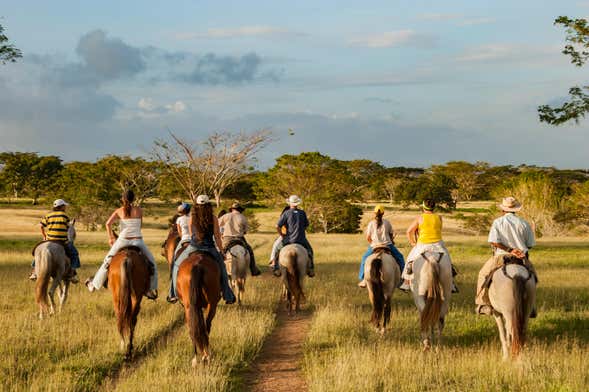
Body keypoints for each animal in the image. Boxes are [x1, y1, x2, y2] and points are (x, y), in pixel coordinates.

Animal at [161, 228, 220, 366]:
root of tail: (197, 264)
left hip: (192, 306)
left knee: (195, 327)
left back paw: (198, 357)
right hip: (209, 305)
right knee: (203, 326)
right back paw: (205, 355)